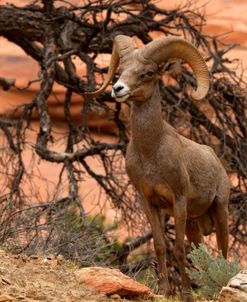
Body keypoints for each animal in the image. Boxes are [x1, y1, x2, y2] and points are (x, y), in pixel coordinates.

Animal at [86, 36, 230, 302]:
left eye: (148, 73)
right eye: (119, 72)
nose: (118, 89)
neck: (151, 152)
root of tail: (216, 159)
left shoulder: (179, 200)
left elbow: (179, 249)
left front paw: (185, 294)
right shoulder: (149, 202)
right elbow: (161, 246)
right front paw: (164, 290)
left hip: (219, 209)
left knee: (223, 247)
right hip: (194, 223)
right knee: (200, 251)